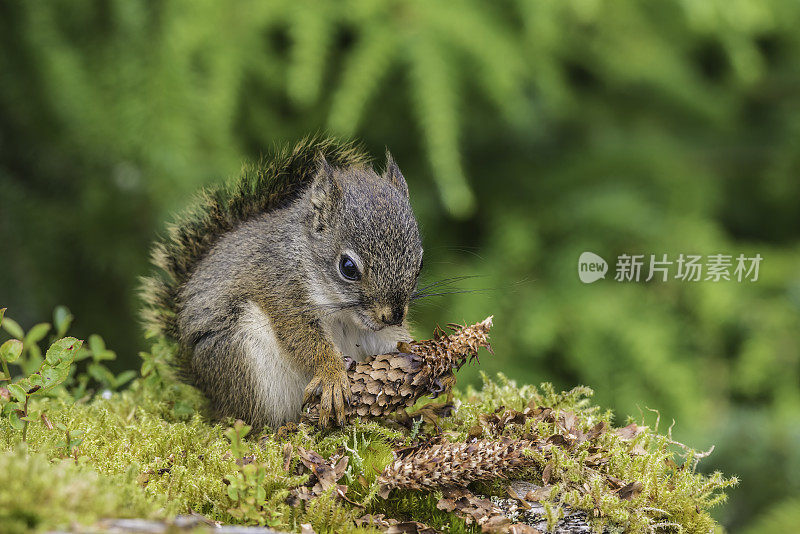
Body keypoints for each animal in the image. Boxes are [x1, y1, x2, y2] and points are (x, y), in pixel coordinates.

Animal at [141, 138, 424, 432]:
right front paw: (332, 373)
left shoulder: (374, 333)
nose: (393, 315)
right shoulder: (282, 290)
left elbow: (388, 342)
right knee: (253, 420)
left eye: (421, 263)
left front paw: (414, 351)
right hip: (243, 358)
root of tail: (211, 395)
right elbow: (303, 338)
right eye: (348, 267)